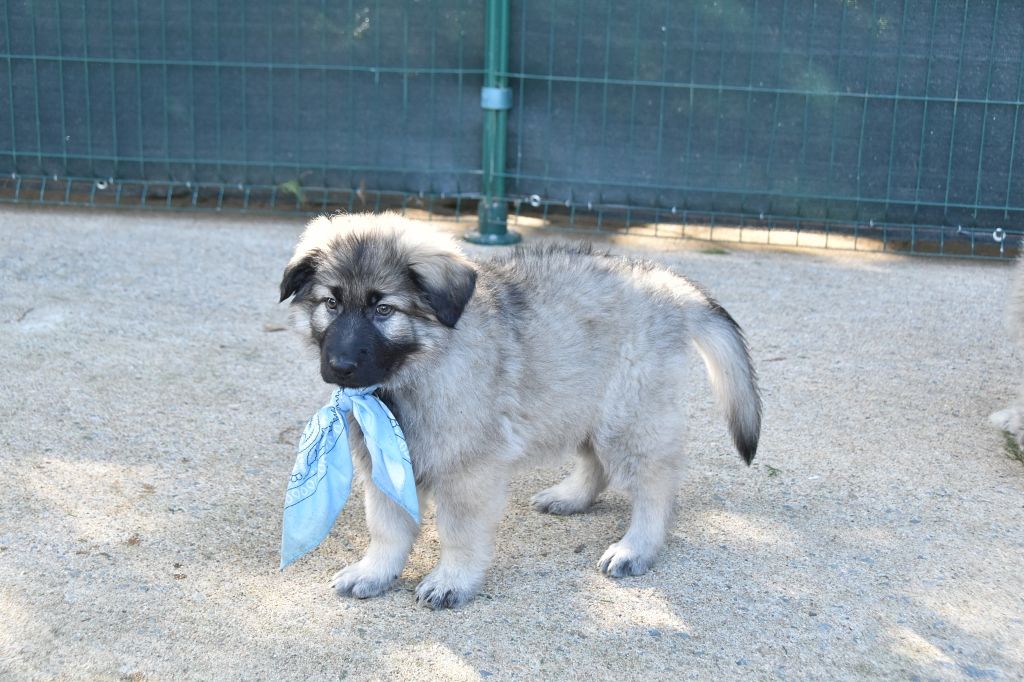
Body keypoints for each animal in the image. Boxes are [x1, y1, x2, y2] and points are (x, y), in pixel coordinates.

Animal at [279, 213, 762, 608]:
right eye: (331, 303)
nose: (340, 366)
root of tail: (669, 286)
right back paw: (571, 497)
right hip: (580, 403)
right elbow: (386, 527)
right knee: (596, 462)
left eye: (383, 309)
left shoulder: (468, 471)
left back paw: (637, 547)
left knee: (655, 485)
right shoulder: (384, 461)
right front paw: (375, 571)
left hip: (627, 417)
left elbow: (458, 532)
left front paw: (452, 580)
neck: (417, 369)